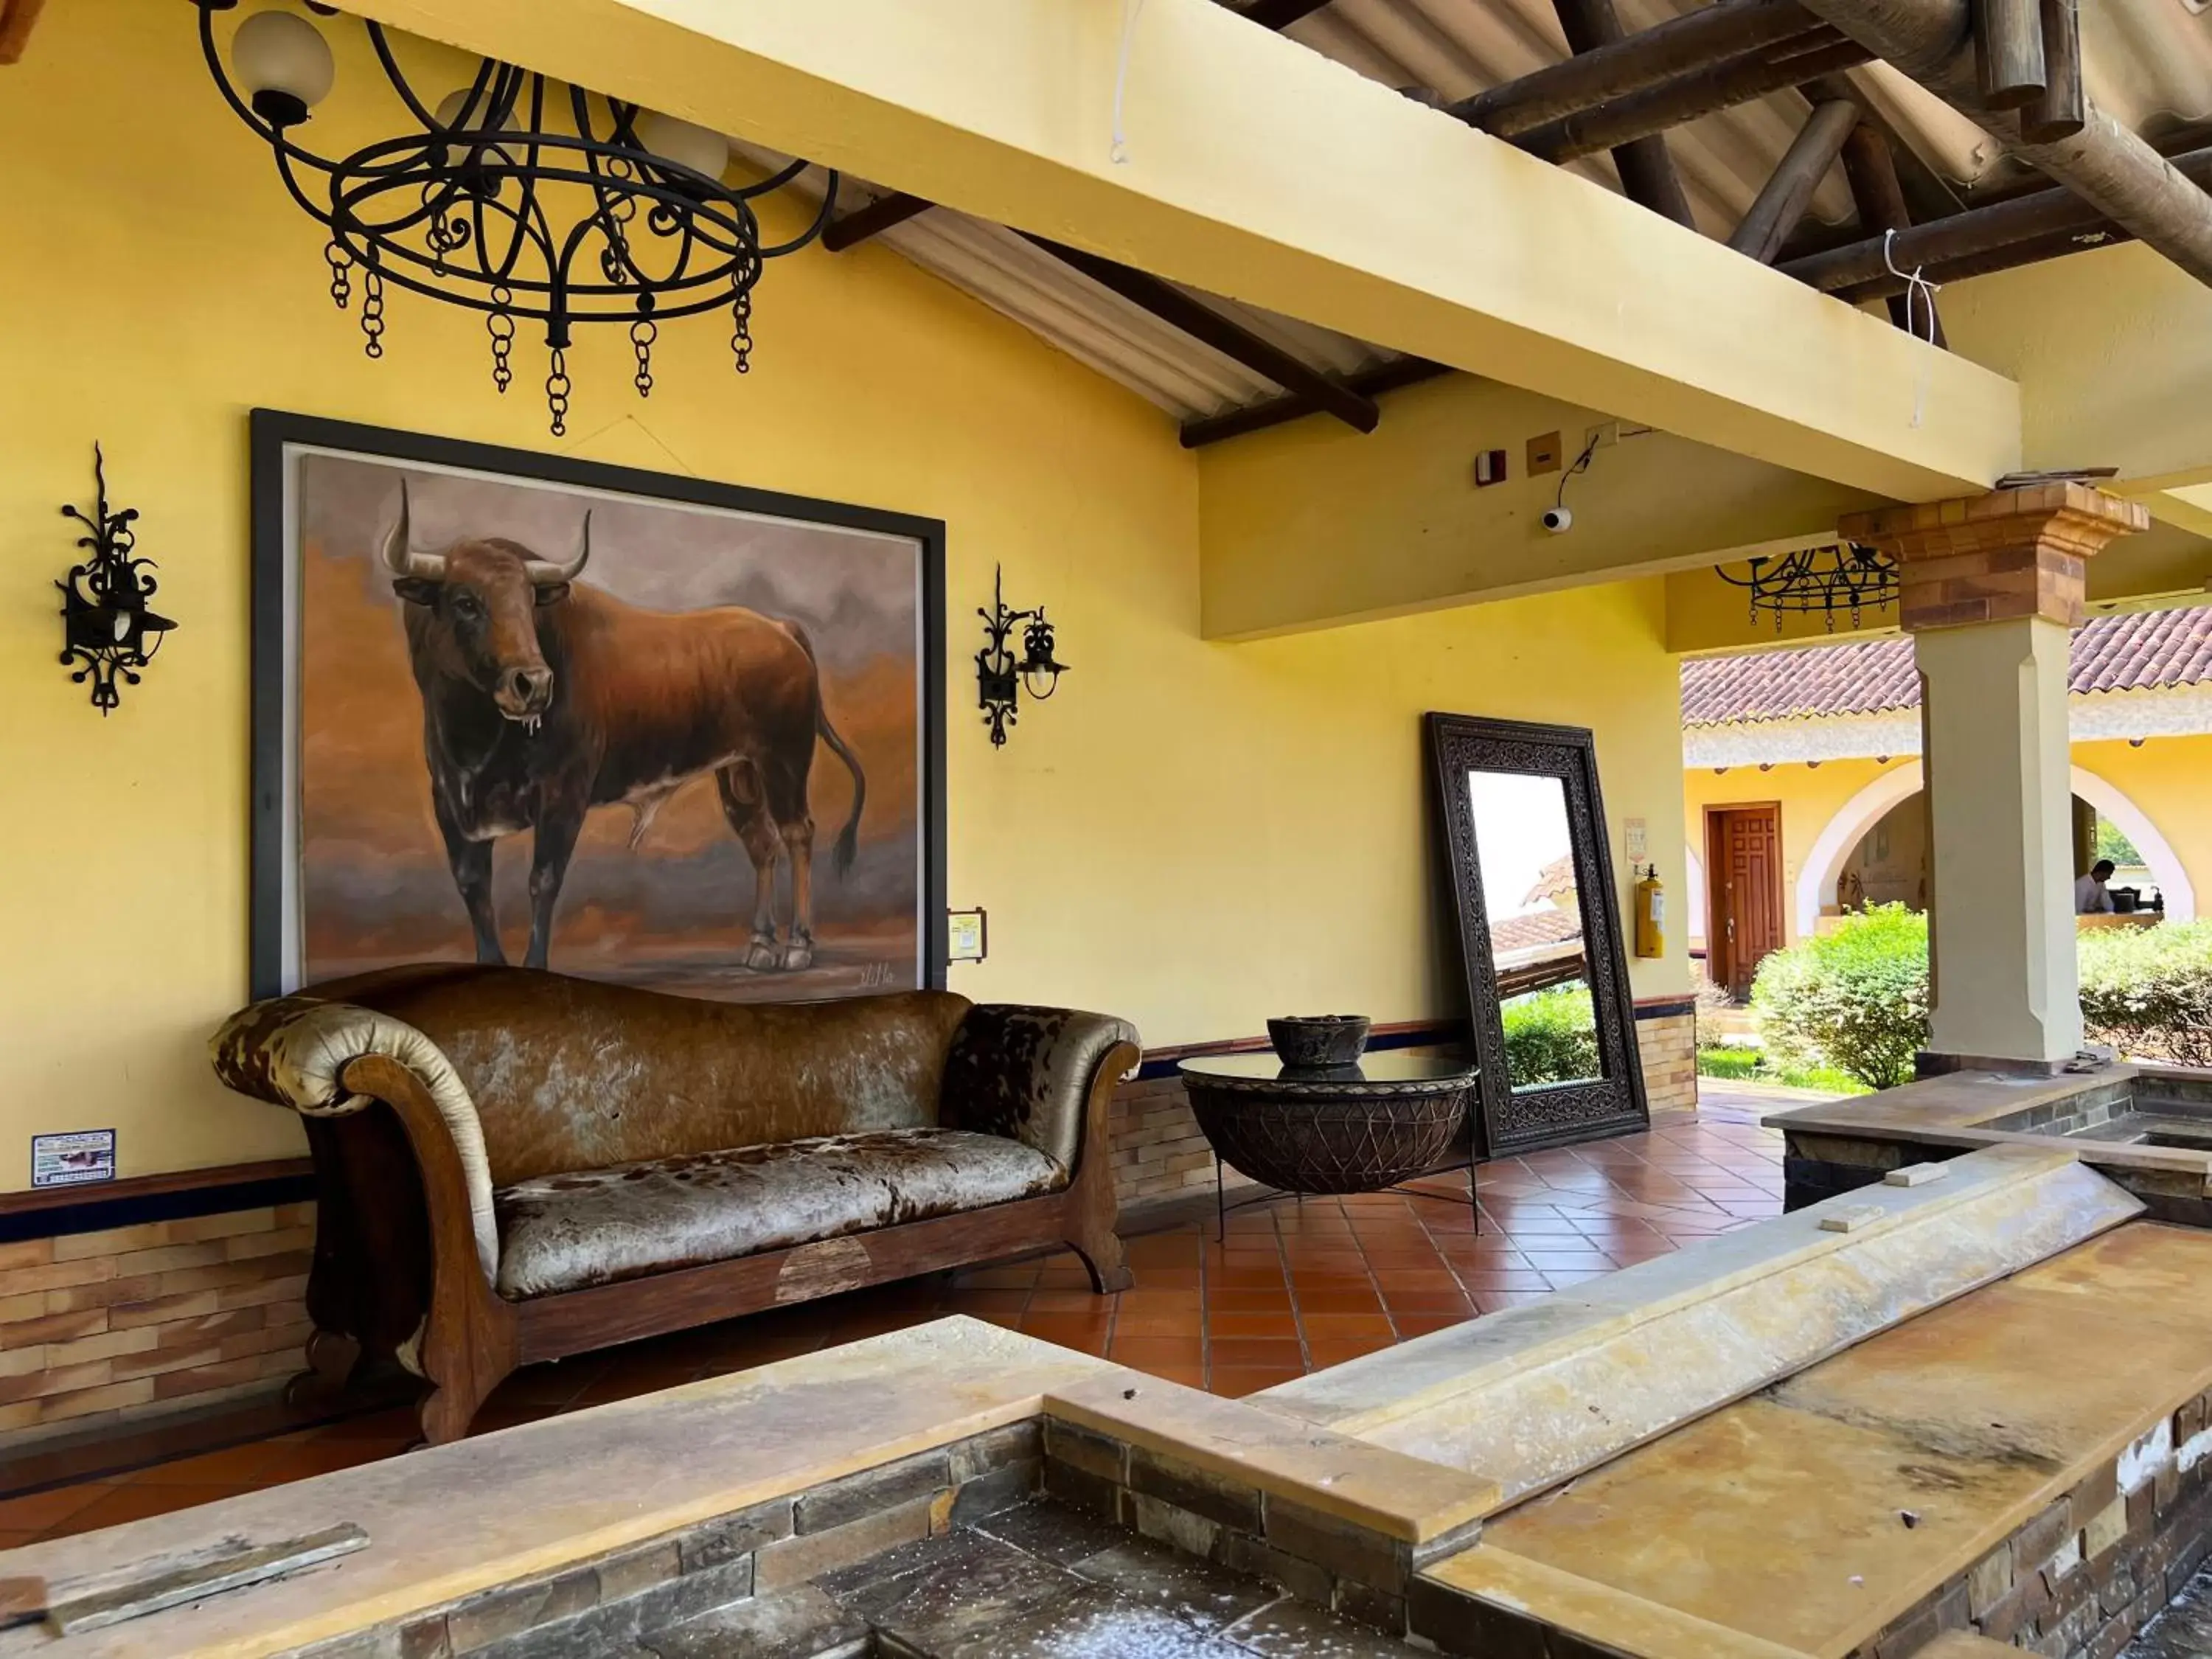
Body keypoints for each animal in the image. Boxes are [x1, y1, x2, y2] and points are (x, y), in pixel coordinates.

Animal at [380, 480, 863, 973]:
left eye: (529, 603)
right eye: (465, 603)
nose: (534, 684)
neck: (475, 742)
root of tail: (778, 628)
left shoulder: (563, 795)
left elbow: (543, 879)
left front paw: (535, 964)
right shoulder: (449, 803)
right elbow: (474, 886)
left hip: (785, 760)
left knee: (797, 832)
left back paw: (799, 945)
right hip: (739, 771)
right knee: (761, 841)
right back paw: (761, 945)